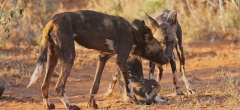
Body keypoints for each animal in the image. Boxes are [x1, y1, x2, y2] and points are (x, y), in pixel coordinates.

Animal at [26, 9, 169, 109]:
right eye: (160, 50)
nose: (167, 59)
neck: (134, 36)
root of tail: (53, 20)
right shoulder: (121, 60)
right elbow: (129, 87)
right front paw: (137, 102)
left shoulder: (103, 56)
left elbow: (96, 84)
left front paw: (91, 104)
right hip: (70, 56)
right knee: (59, 86)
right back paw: (70, 106)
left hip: (53, 57)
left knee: (45, 85)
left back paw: (48, 105)